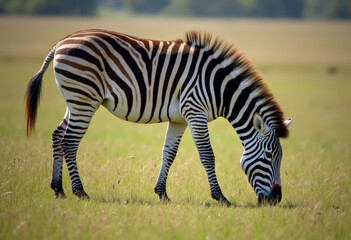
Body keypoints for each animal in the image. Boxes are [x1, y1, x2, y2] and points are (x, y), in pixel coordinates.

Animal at [26, 29, 292, 206]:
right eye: (270, 156)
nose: (276, 201)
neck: (219, 87)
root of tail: (62, 41)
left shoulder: (180, 118)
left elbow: (169, 153)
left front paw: (162, 193)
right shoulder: (195, 112)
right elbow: (207, 155)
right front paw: (221, 197)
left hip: (75, 100)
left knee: (58, 135)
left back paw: (58, 189)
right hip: (84, 98)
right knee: (70, 141)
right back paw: (80, 192)